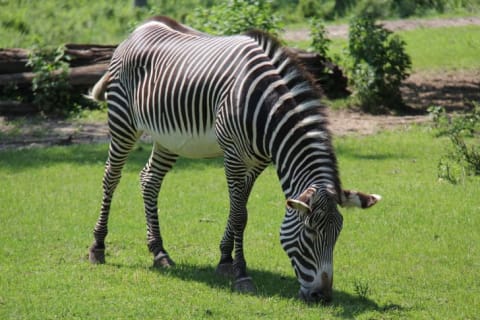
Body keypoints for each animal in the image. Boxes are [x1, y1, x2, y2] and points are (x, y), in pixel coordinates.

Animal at [88, 16, 380, 302]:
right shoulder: (234, 157)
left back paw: (159, 252)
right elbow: (240, 214)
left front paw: (225, 261)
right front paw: (241, 273)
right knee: (111, 177)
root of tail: (141, 27)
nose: (323, 296)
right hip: (123, 121)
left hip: (168, 137)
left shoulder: (257, 162)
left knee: (149, 179)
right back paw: (98, 246)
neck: (267, 110)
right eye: (310, 232)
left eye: (337, 234)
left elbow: (239, 209)